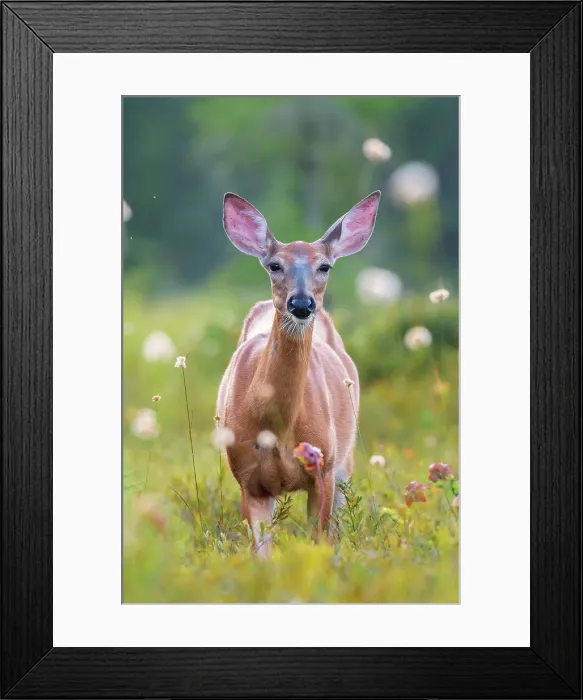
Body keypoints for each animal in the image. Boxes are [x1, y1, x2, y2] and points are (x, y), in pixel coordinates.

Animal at [217, 191, 381, 556]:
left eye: (325, 266)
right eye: (274, 265)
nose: (302, 304)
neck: (278, 428)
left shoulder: (324, 470)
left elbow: (320, 542)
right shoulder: (247, 479)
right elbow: (262, 554)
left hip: (345, 461)